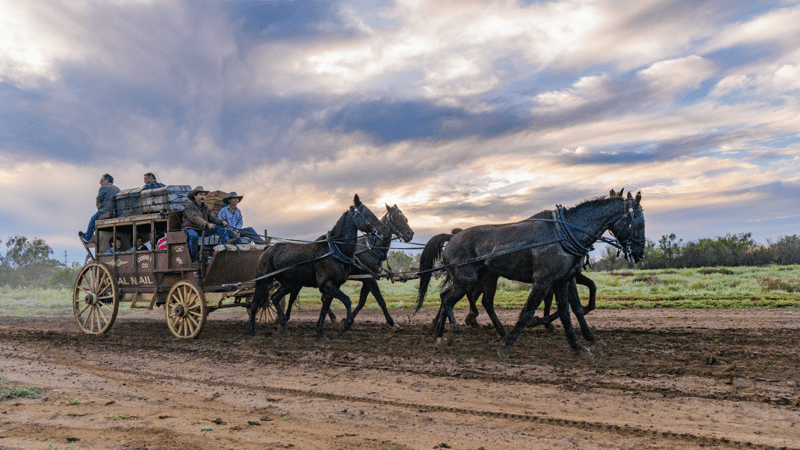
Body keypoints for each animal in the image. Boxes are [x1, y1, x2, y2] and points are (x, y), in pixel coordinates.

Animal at [250, 195, 388, 340]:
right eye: (366, 213)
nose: (385, 230)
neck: (334, 252)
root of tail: (267, 249)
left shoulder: (334, 285)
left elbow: (325, 308)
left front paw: (320, 331)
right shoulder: (326, 285)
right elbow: (347, 300)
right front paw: (345, 323)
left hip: (289, 283)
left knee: (275, 297)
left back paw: (282, 323)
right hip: (263, 280)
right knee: (254, 304)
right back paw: (253, 331)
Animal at [418, 190, 644, 358]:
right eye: (639, 221)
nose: (640, 253)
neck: (564, 235)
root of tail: (452, 238)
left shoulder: (562, 281)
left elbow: (568, 312)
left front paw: (580, 346)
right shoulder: (543, 281)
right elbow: (528, 312)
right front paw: (506, 346)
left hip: (484, 277)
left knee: (467, 300)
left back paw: (443, 334)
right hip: (467, 279)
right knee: (448, 299)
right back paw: (451, 332)